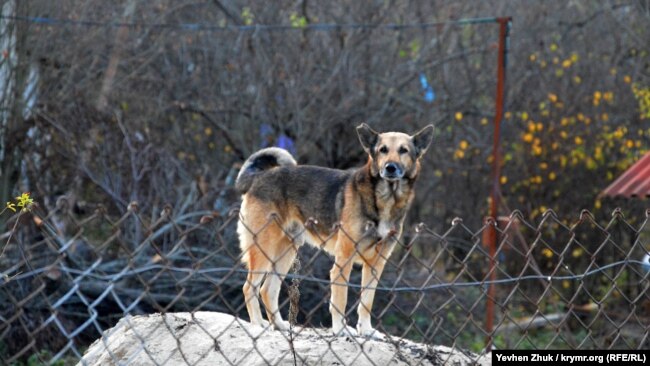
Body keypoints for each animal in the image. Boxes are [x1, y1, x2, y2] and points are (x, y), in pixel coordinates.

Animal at [235, 123, 432, 338]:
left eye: (403, 150)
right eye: (383, 150)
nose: (390, 167)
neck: (385, 198)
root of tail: (259, 177)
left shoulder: (376, 264)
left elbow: (366, 301)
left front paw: (366, 329)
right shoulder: (343, 260)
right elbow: (340, 299)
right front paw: (340, 329)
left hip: (285, 252)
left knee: (267, 290)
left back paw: (279, 325)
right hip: (264, 248)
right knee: (249, 288)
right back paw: (256, 325)